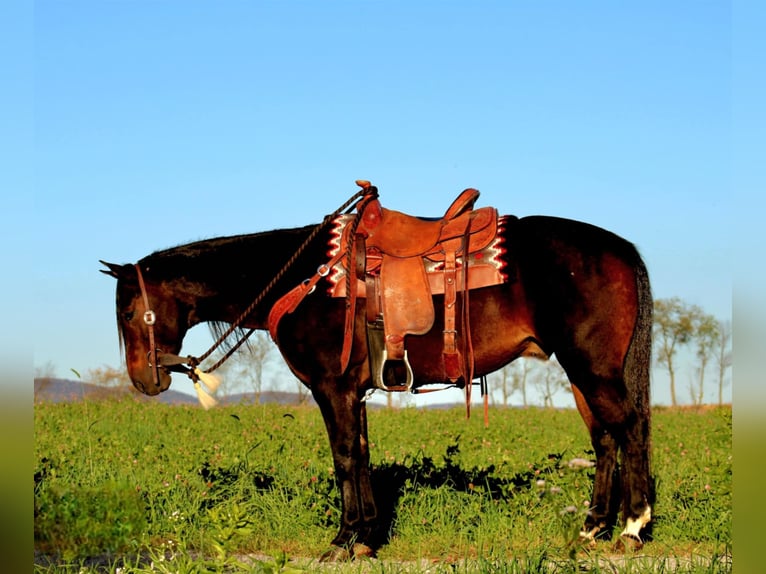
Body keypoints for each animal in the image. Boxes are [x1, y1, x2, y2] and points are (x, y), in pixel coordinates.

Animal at [100, 187, 656, 560]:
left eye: (128, 312)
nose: (144, 382)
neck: (305, 278)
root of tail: (620, 249)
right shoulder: (355, 392)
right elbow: (363, 455)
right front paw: (366, 538)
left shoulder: (332, 388)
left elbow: (345, 457)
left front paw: (342, 540)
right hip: (583, 373)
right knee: (605, 437)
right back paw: (592, 529)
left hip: (591, 366)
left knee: (628, 429)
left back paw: (632, 529)